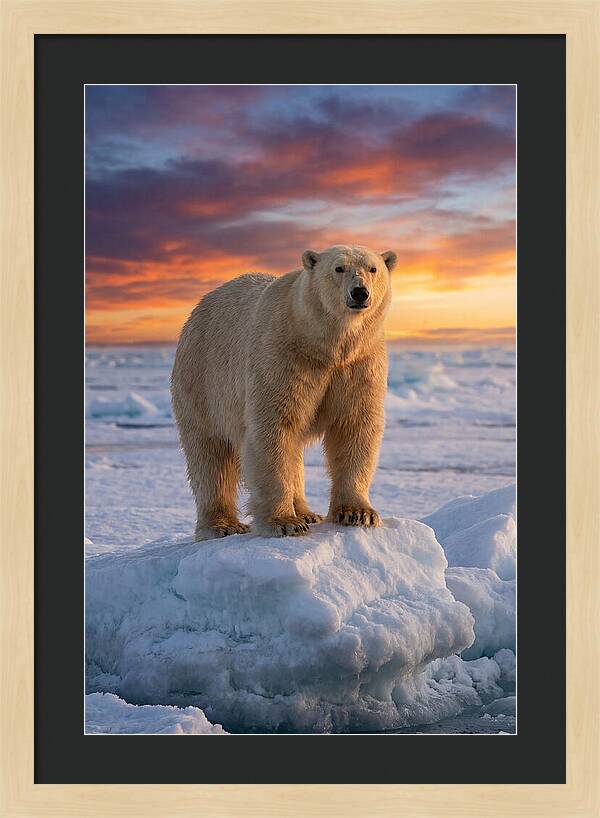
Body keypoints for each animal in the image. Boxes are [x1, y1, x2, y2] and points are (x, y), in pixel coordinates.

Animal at [171, 244, 397, 540]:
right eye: (338, 268)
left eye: (373, 269)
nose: (360, 292)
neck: (323, 344)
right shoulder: (282, 356)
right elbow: (273, 428)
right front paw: (285, 522)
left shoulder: (360, 363)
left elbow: (355, 426)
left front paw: (358, 513)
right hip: (202, 380)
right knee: (210, 455)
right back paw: (222, 525)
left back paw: (307, 512)